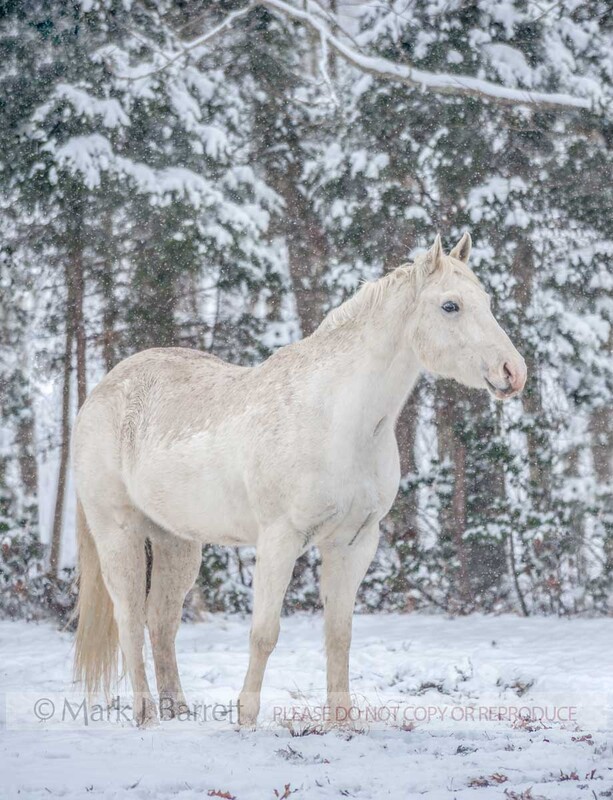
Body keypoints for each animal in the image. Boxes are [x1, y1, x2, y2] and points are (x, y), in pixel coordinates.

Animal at [71, 232, 526, 727]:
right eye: (450, 306)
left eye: (486, 301)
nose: (513, 372)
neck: (338, 419)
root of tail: (100, 392)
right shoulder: (279, 540)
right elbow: (264, 633)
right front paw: (246, 720)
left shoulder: (353, 543)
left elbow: (339, 636)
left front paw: (342, 724)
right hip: (120, 533)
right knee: (130, 620)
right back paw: (147, 716)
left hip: (177, 541)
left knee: (161, 621)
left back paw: (179, 714)